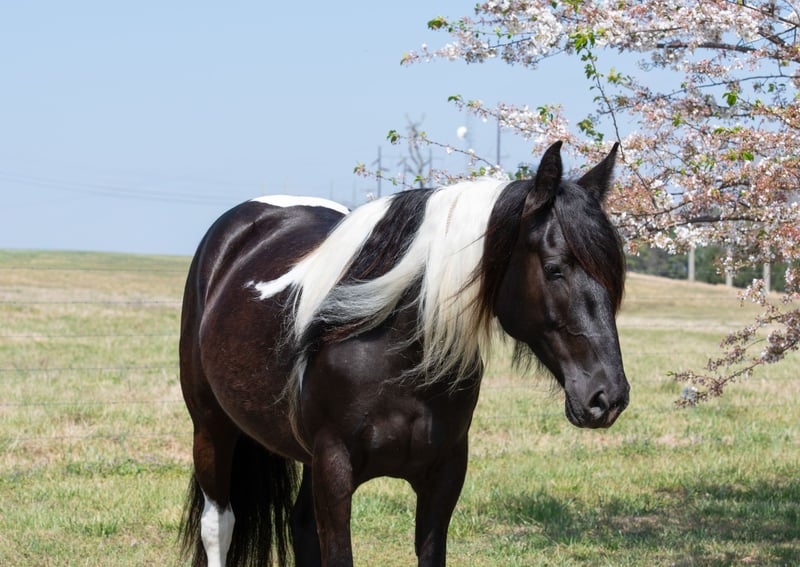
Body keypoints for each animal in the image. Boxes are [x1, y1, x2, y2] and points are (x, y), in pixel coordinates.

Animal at [178, 141, 629, 567]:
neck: (396, 359)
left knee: (300, 526)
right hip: (211, 428)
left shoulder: (444, 475)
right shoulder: (334, 468)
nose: (607, 396)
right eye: (554, 268)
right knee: (219, 525)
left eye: (613, 277)